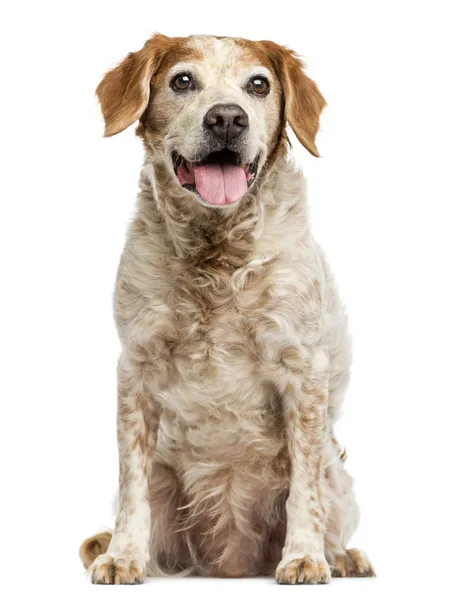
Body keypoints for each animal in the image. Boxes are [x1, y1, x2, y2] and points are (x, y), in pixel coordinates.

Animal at [80, 34, 376, 584]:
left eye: (258, 84)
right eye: (182, 80)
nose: (226, 118)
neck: (217, 254)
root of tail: (231, 560)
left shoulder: (303, 371)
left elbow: (305, 493)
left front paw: (305, 556)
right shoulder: (136, 368)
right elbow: (132, 488)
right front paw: (124, 556)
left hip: (338, 472)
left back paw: (342, 557)